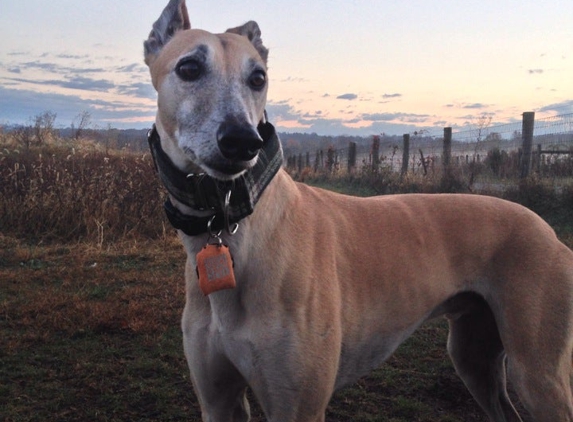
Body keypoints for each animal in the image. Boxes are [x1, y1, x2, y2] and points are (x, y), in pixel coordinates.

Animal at [144, 1, 572, 420]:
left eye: (258, 78)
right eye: (189, 67)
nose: (242, 141)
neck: (238, 231)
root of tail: (548, 231)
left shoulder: (299, 407)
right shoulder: (218, 402)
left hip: (537, 372)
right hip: (474, 355)